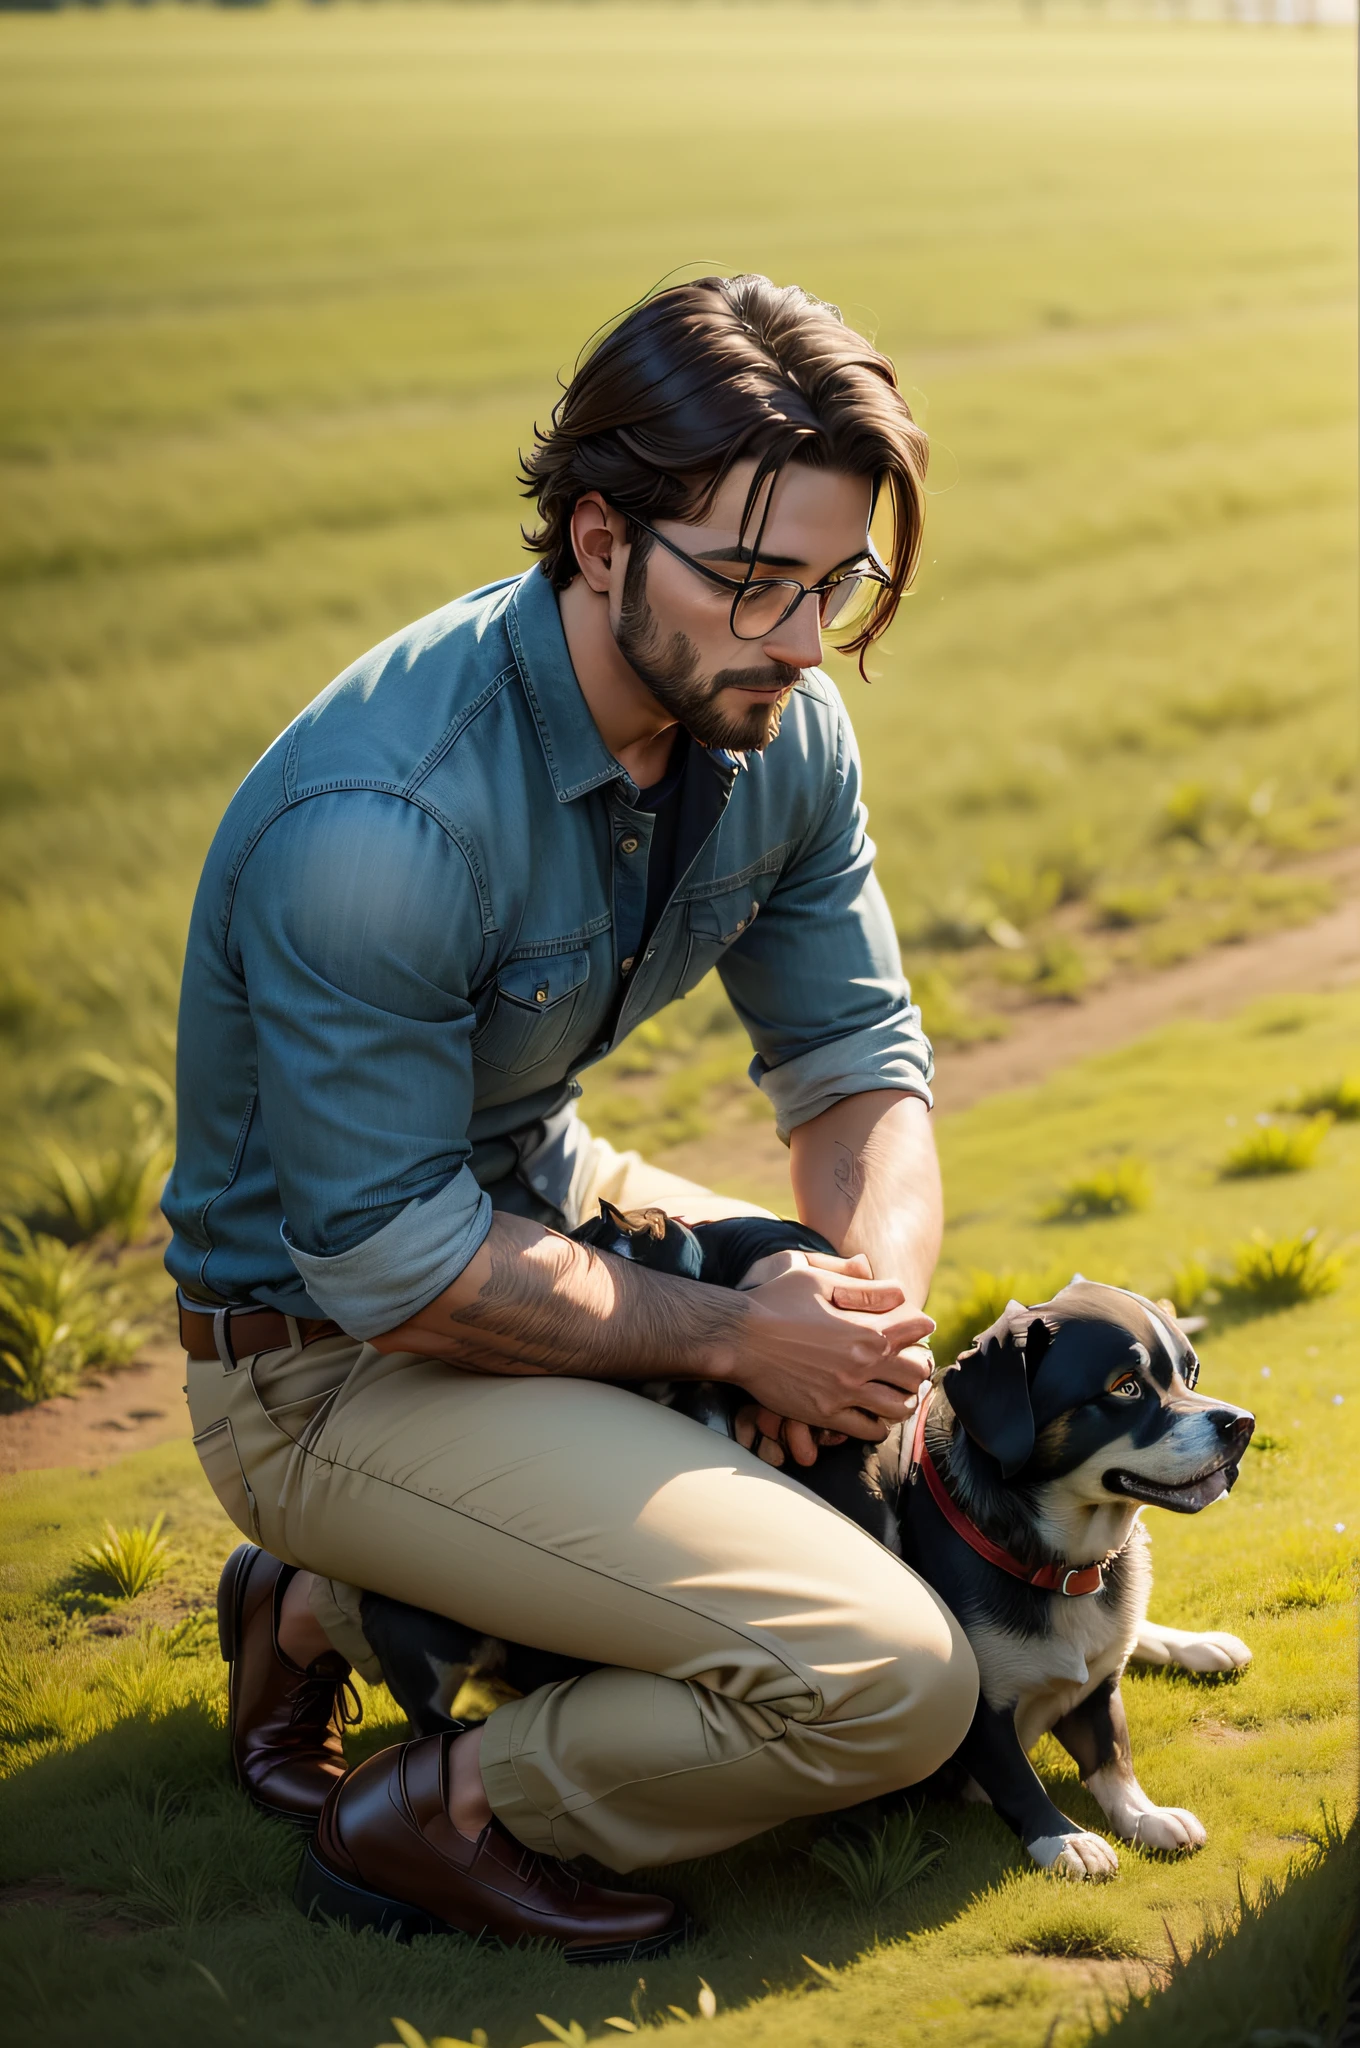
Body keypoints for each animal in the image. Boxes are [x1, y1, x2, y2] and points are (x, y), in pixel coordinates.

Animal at [358, 1212, 1253, 1884]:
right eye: (1124, 1389)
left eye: (1188, 1372)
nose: (1239, 1423)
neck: (1058, 1559)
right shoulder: (979, 1712)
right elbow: (1015, 1774)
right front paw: (1063, 1839)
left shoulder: (1094, 1679)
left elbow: (1112, 1752)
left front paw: (1144, 1815)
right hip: (425, 1641)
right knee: (434, 1722)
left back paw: (1193, 1644)